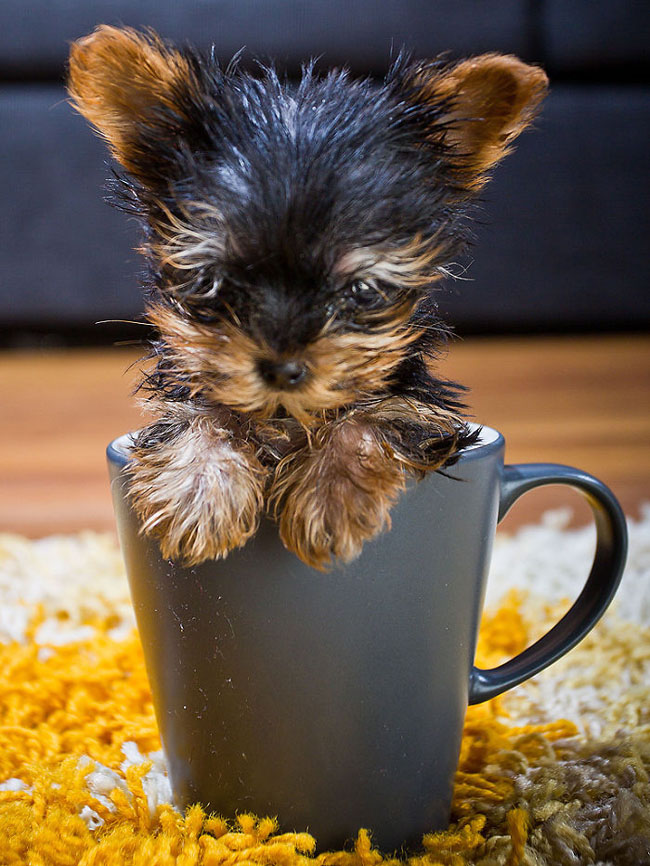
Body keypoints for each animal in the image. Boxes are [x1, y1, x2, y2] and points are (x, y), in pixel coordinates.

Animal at [68, 25, 548, 568]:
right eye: (214, 281)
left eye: (362, 290)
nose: (283, 370)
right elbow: (197, 414)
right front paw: (198, 491)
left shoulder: (424, 409)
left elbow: (375, 415)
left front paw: (331, 497)